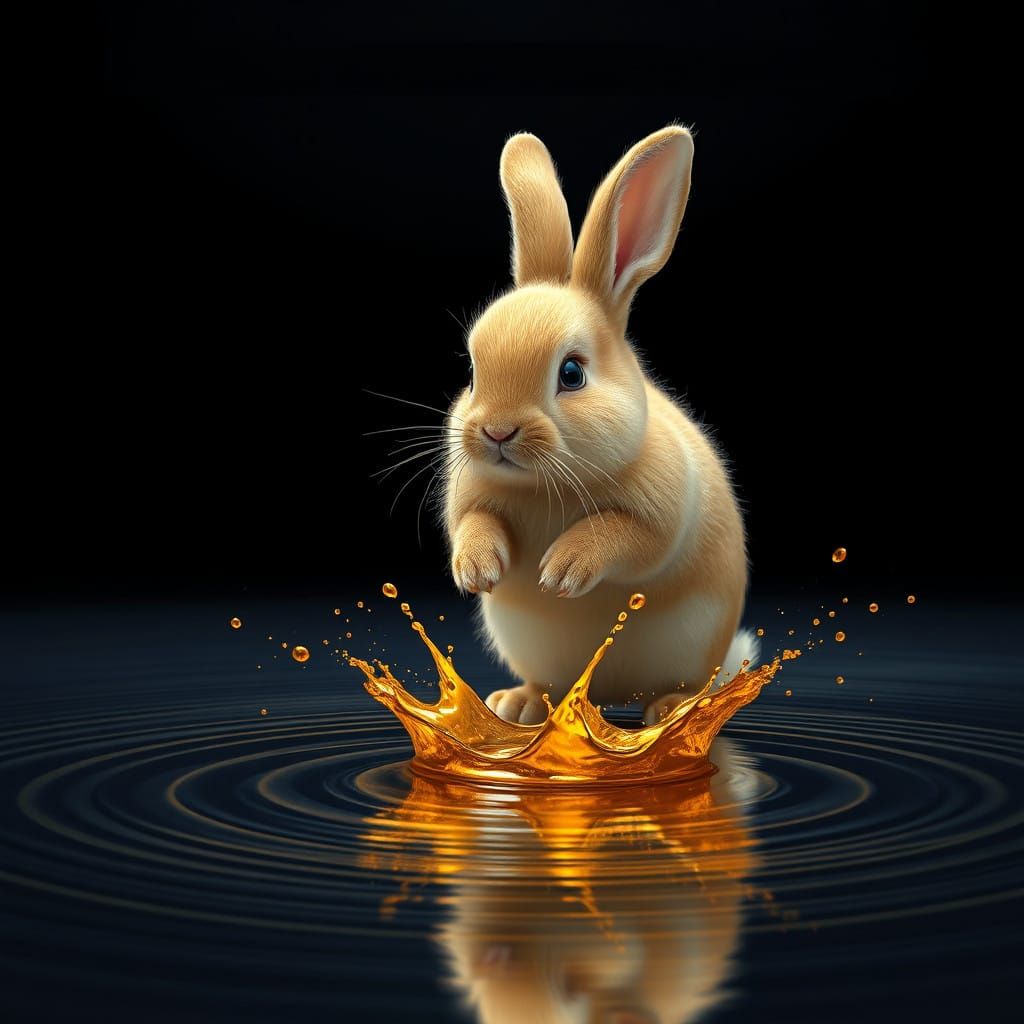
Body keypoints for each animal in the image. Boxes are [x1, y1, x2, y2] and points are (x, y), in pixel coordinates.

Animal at [443, 123, 758, 727]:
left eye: (571, 374)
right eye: (471, 371)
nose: (496, 432)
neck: (544, 484)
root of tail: (614, 697)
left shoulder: (660, 509)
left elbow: (624, 535)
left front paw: (561, 571)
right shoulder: (472, 497)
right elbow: (473, 522)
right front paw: (476, 571)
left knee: (693, 685)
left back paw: (672, 711)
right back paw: (518, 706)